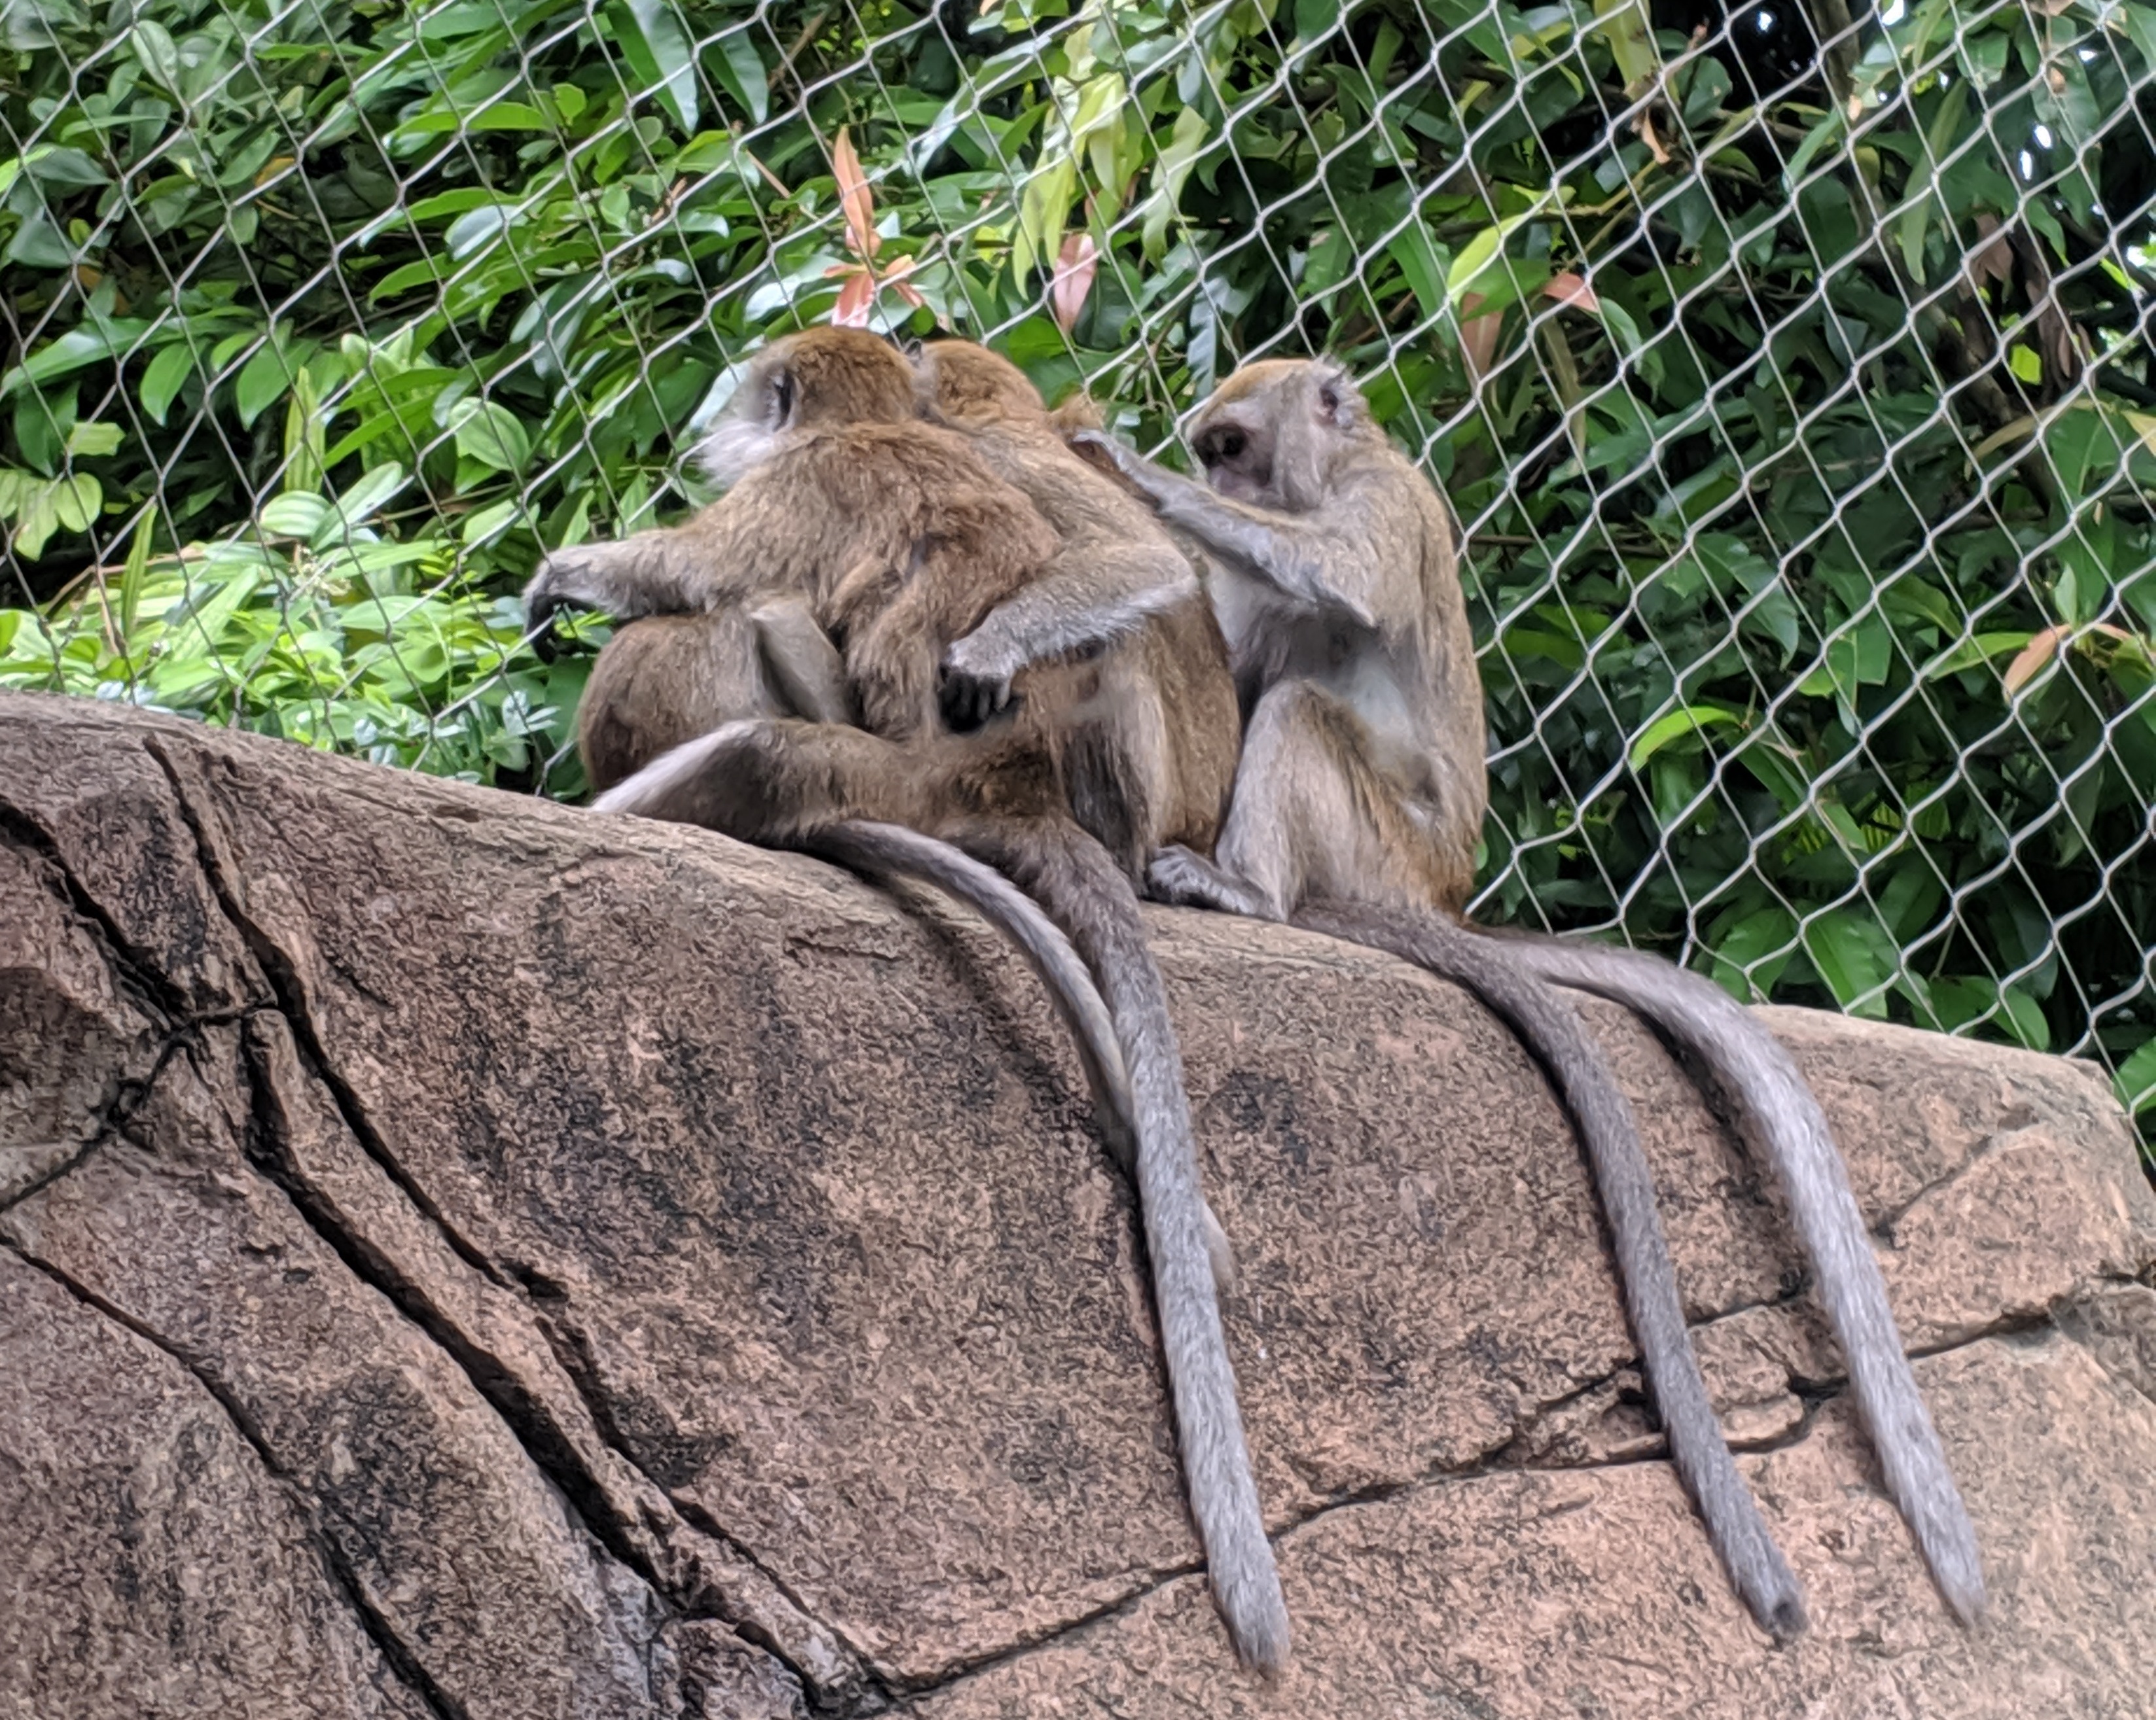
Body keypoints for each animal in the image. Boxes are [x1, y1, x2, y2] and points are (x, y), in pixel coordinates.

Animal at [560, 331, 1290, 1672]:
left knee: (765, 667)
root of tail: (993, 785)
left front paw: (573, 577)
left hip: (902, 762)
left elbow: (695, 569)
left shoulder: (806, 484)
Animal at [1075, 359, 1986, 1632]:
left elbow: (1337, 581)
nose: (1214, 478)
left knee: (1301, 709)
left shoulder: (1388, 506)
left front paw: (1125, 471)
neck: (1335, 468)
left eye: (1230, 448)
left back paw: (1246, 888)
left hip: (1377, 845)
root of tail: (1443, 896)